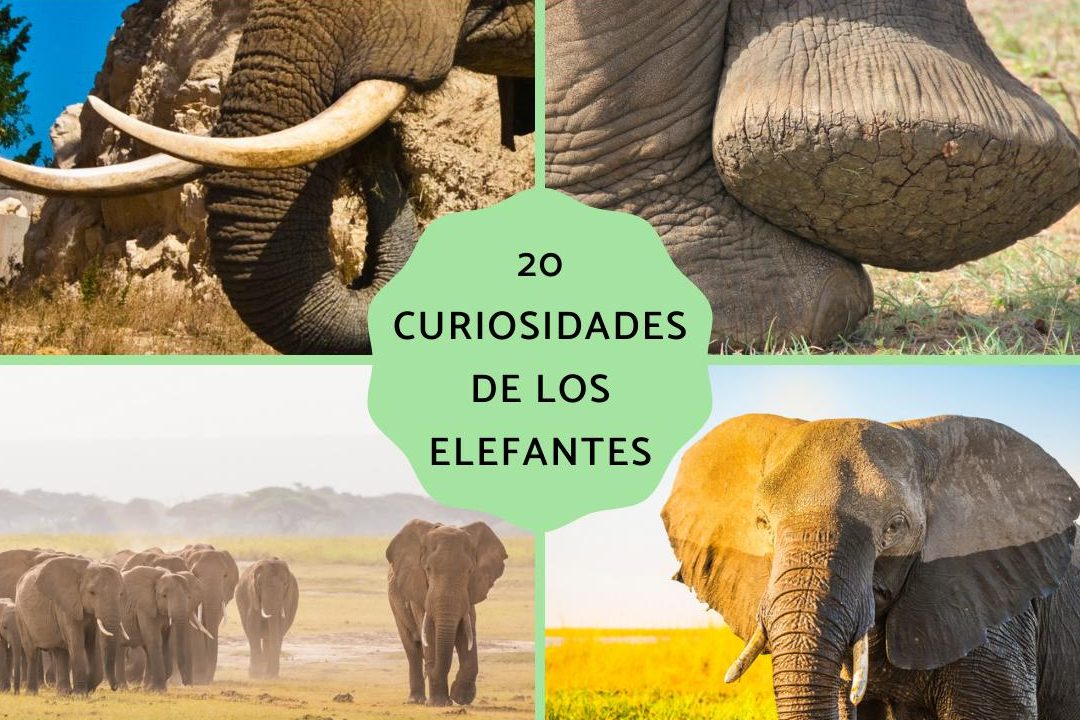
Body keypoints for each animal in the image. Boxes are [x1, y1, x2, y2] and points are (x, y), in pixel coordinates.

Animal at [15, 556, 126, 695]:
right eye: (92, 592)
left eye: (121, 594)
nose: (115, 687)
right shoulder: (66, 605)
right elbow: (76, 642)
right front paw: (80, 694)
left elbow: (93, 643)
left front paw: (86, 689)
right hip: (21, 614)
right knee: (32, 652)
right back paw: (32, 693)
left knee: (59, 652)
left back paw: (64, 693)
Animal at [386, 520, 507, 706]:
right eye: (428, 569)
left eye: (469, 571)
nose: (430, 669)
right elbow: (430, 634)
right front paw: (439, 704)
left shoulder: (468, 594)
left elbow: (466, 633)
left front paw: (460, 697)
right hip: (395, 605)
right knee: (412, 649)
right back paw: (416, 700)